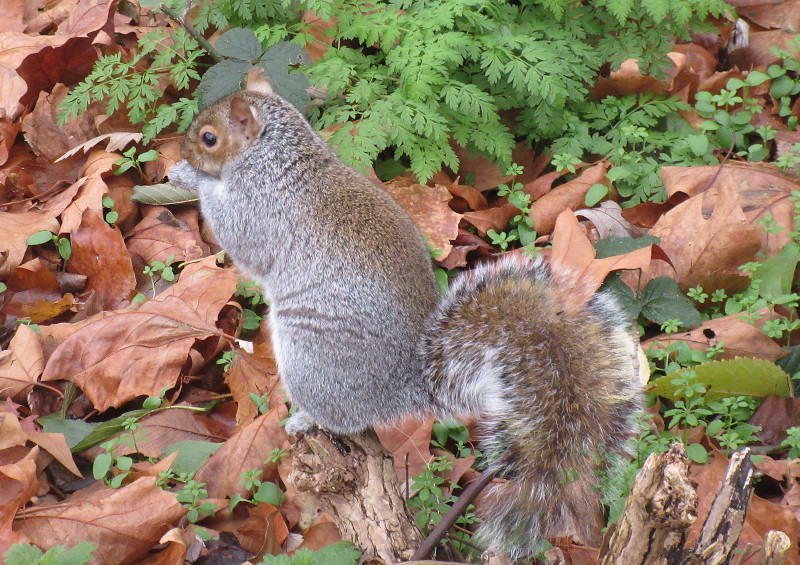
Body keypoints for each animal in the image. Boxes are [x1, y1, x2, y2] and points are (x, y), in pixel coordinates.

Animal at [170, 74, 644, 556]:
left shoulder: (260, 209)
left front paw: (188, 176)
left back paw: (305, 418)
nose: (180, 149)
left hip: (310, 356)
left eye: (209, 138)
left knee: (346, 419)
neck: (277, 158)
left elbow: (238, 236)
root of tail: (402, 389)